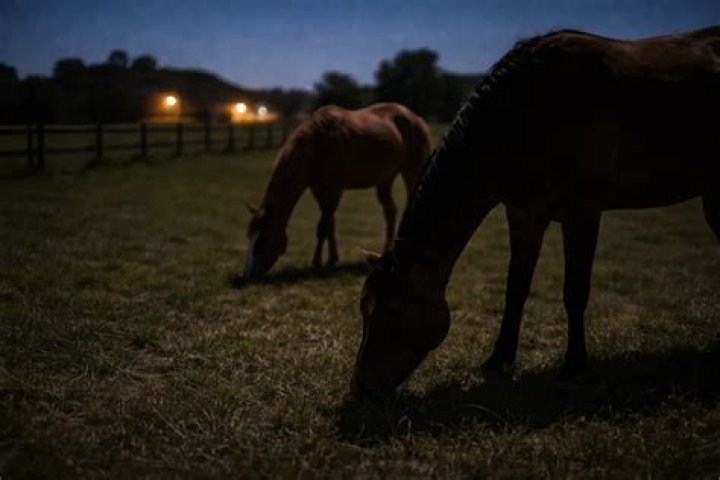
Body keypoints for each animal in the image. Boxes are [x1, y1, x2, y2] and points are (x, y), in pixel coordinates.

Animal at [242, 102, 432, 278]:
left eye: (262, 240)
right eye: (249, 236)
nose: (248, 274)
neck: (319, 143)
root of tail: (416, 118)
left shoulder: (335, 189)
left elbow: (322, 227)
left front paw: (316, 262)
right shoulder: (318, 189)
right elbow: (329, 224)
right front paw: (332, 259)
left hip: (413, 171)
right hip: (385, 180)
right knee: (390, 212)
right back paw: (386, 251)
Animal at [351, 26, 720, 399]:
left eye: (395, 310)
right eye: (364, 308)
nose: (360, 388)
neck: (532, 110)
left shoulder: (583, 212)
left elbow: (575, 291)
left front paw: (575, 367)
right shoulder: (524, 214)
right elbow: (516, 288)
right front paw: (499, 360)